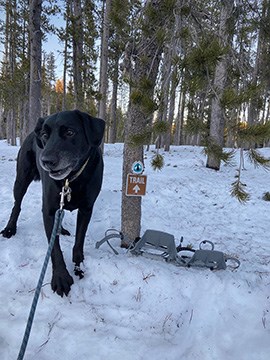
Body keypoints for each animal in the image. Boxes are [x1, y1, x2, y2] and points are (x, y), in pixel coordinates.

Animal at [1, 111, 104, 296]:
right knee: (16, 206)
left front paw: (78, 267)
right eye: (44, 135)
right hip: (21, 179)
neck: (70, 180)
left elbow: (79, 242)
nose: (46, 161)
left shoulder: (86, 209)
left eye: (70, 132)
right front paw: (61, 277)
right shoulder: (48, 210)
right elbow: (55, 249)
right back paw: (10, 228)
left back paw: (60, 229)